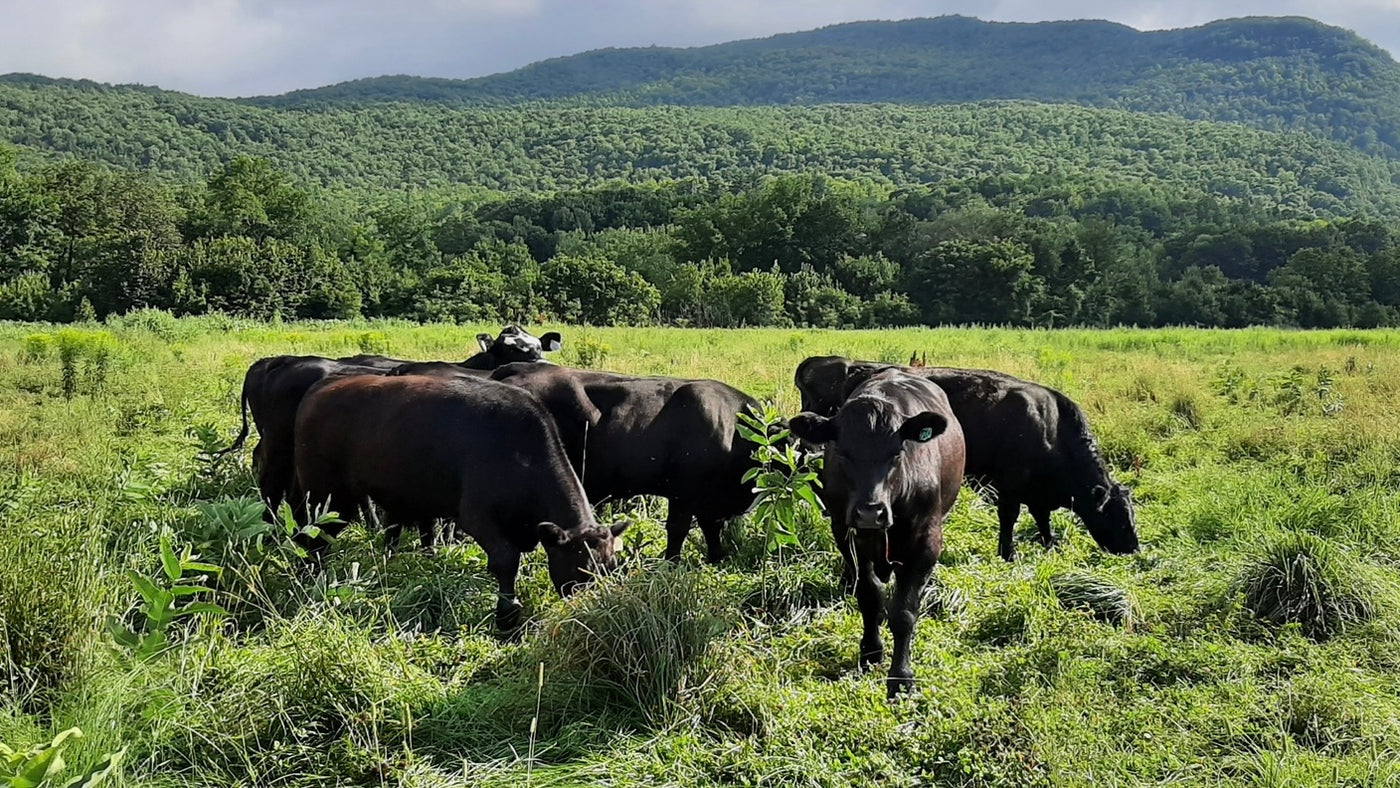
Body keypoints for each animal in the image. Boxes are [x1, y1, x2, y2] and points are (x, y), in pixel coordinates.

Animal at [294, 372, 624, 632]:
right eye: (582, 570)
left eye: (611, 567)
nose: (596, 608)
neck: (522, 454)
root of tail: (325, 385)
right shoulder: (475, 516)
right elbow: (506, 560)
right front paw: (507, 617)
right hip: (327, 496)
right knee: (313, 537)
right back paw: (308, 579)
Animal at [490, 363, 756, 559]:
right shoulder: (682, 494)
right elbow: (677, 531)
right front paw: (671, 565)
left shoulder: (708, 501)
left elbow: (711, 530)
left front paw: (715, 559)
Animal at [789, 369, 963, 697]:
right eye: (842, 453)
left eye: (896, 453)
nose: (871, 512)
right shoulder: (846, 534)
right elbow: (870, 597)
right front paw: (871, 651)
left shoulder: (926, 543)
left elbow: (904, 612)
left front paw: (901, 676)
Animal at [800, 354, 1136, 565]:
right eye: (1117, 516)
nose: (1134, 547)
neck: (1050, 425)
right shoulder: (1009, 485)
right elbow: (1010, 518)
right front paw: (1008, 553)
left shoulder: (1037, 492)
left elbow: (1042, 518)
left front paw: (1050, 542)